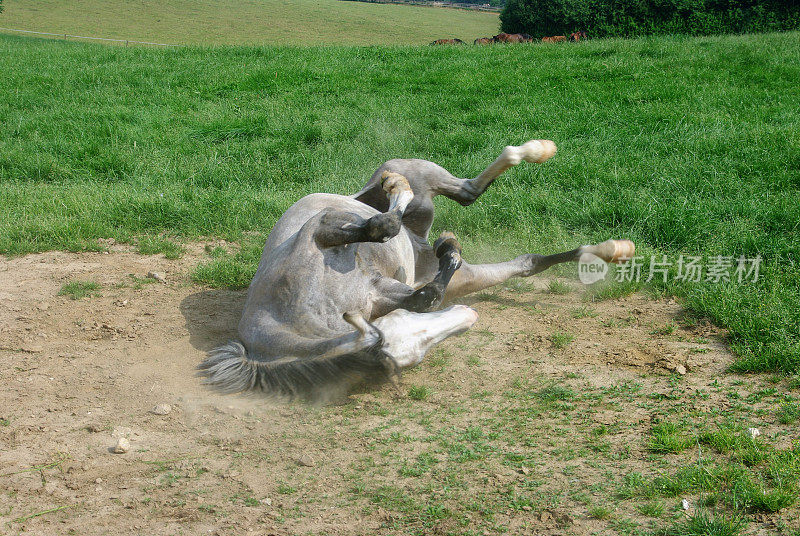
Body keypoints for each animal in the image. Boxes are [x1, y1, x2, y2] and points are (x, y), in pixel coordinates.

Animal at [198, 140, 632, 400]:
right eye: (410, 354)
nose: (468, 317)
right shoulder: (377, 284)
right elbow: (425, 287)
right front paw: (448, 248)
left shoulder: (331, 238)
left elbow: (385, 232)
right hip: (431, 241)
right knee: (483, 221)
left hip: (409, 183)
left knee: (455, 194)